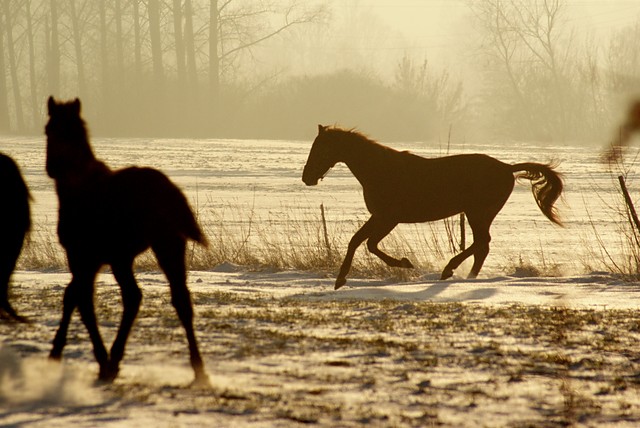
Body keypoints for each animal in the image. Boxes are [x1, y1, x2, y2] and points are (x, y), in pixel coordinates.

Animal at [45, 97, 210, 384]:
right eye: (48, 129)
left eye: (67, 131)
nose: (52, 167)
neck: (77, 190)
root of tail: (169, 190)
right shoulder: (98, 260)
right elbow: (77, 297)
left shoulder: (81, 256)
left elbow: (78, 300)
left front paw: (70, 354)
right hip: (164, 247)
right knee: (178, 299)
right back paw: (198, 368)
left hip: (138, 253)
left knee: (135, 296)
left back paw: (113, 360)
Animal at [302, 125, 564, 290]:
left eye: (321, 148)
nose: (307, 177)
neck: (380, 170)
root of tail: (507, 168)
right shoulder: (378, 217)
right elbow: (356, 241)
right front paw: (340, 280)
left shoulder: (388, 218)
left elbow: (370, 244)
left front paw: (405, 263)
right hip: (479, 214)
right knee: (482, 246)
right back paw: (467, 276)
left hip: (478, 213)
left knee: (482, 243)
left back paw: (449, 270)